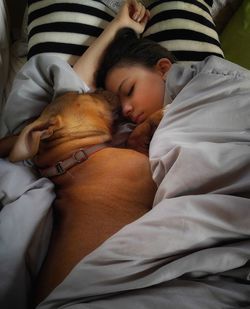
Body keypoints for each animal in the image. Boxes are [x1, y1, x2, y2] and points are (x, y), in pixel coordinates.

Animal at [0, 90, 156, 302]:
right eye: (82, 94)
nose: (103, 87)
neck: (72, 158)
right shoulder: (144, 167)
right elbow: (135, 135)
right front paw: (158, 114)